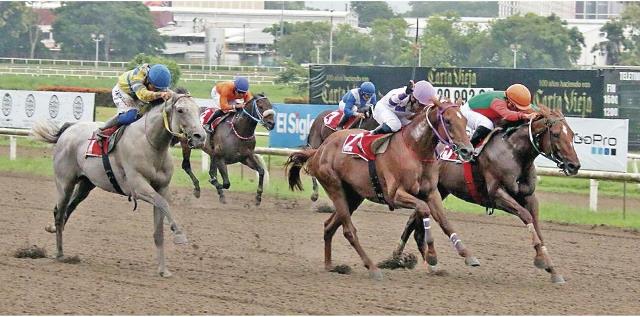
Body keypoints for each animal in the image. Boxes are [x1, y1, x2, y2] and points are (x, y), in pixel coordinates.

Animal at [30, 92, 205, 276]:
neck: (150, 143)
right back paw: (60, 253)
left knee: (68, 209)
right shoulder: (138, 187)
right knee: (59, 212)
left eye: (199, 110)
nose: (201, 137)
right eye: (180, 110)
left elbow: (159, 228)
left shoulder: (162, 188)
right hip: (65, 183)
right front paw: (179, 235)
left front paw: (163, 270)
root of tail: (69, 129)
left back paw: (54, 234)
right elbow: (163, 204)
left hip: (86, 184)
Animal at [288, 100, 478, 278]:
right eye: (448, 121)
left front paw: (467, 255)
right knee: (349, 230)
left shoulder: (431, 193)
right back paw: (372, 268)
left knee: (329, 225)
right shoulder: (394, 195)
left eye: (465, 120)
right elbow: (423, 209)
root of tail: (319, 150)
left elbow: (445, 221)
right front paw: (432, 256)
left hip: (353, 196)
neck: (414, 150)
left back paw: (330, 266)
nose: (468, 151)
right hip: (335, 187)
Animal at [392, 105, 584, 282]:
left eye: (572, 135)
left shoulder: (529, 197)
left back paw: (411, 261)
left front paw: (552, 269)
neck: (514, 152)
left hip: (437, 190)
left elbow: (536, 225)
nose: (574, 165)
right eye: (557, 134)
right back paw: (401, 258)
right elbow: (526, 216)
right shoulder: (497, 195)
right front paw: (541, 260)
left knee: (414, 223)